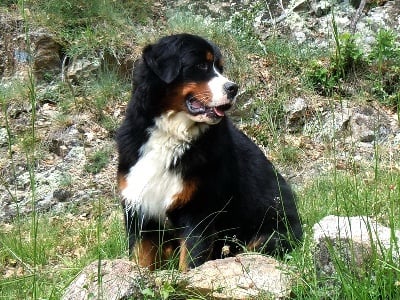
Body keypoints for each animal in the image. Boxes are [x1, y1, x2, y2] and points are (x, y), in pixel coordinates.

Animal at [117, 33, 302, 272]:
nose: (233, 88)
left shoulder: (199, 209)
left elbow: (190, 261)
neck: (170, 135)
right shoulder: (139, 208)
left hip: (268, 237)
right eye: (201, 65)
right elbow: (141, 259)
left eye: (220, 68)